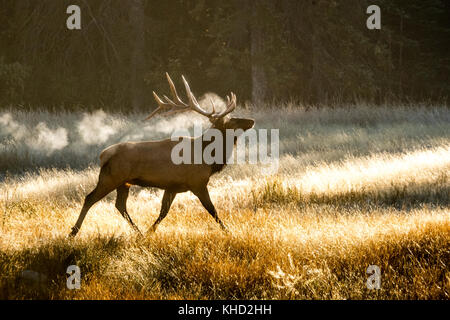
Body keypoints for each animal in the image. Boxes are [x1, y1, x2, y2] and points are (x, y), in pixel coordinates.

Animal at [69, 73, 253, 238]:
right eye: (231, 120)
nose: (251, 121)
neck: (208, 157)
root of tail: (103, 155)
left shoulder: (172, 186)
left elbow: (163, 211)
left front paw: (149, 232)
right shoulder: (197, 183)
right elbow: (212, 210)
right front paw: (229, 232)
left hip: (124, 182)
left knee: (120, 205)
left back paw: (139, 233)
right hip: (110, 177)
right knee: (89, 198)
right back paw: (73, 232)